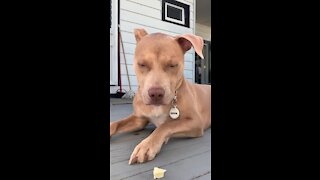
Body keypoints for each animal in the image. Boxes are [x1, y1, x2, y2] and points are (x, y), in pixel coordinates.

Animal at [109, 28, 210, 165]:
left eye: (173, 65)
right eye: (142, 64)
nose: (156, 93)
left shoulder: (195, 122)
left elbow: (166, 125)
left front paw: (147, 145)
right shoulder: (138, 120)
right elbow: (116, 123)